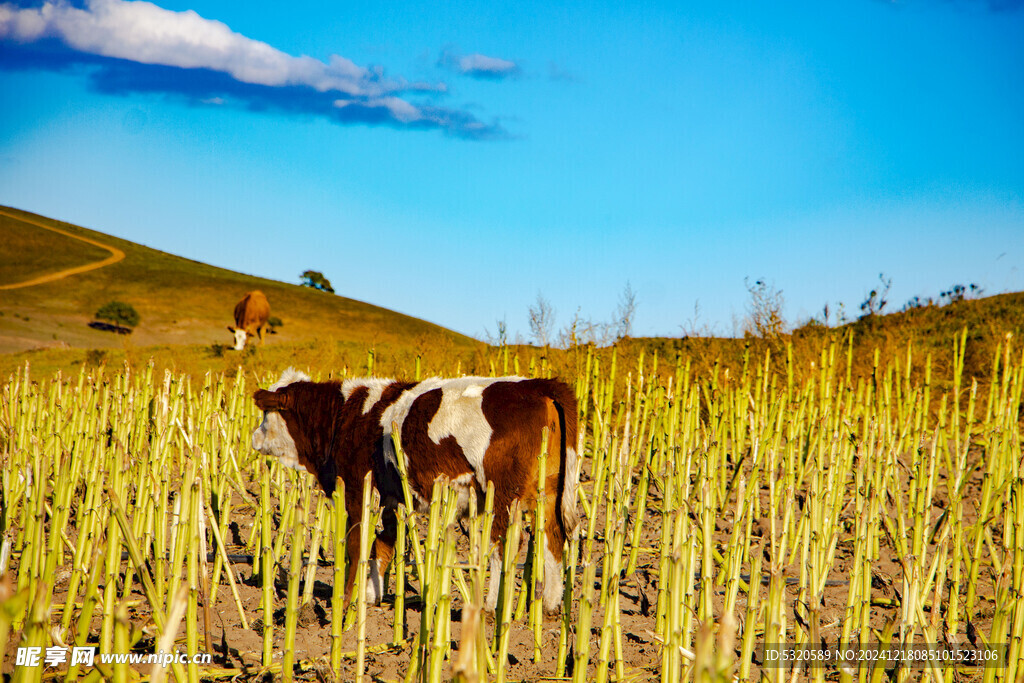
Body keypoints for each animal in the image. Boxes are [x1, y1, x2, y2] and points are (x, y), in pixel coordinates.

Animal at [251, 368, 581, 614]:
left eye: (266, 416)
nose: (253, 438)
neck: (346, 417)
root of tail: (539, 384)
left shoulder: (356, 490)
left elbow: (357, 544)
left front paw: (345, 601)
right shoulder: (392, 497)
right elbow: (384, 543)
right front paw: (370, 595)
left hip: (500, 493)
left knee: (506, 543)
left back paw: (489, 607)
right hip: (550, 490)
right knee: (553, 535)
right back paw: (551, 605)